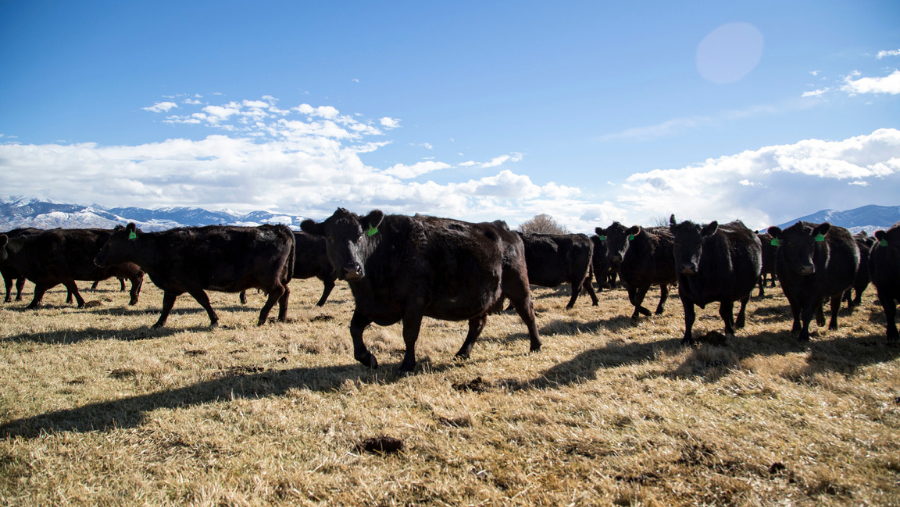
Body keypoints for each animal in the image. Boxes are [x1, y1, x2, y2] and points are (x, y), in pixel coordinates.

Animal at [0, 228, 144, 308]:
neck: (31, 248)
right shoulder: (45, 278)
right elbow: (38, 292)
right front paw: (31, 305)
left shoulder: (63, 275)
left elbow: (73, 288)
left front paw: (81, 303)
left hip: (129, 268)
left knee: (137, 279)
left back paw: (133, 298)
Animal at [94, 223, 294, 328]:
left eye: (110, 243)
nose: (96, 259)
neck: (160, 246)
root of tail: (277, 228)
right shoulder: (171, 285)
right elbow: (166, 305)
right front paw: (159, 323)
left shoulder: (191, 283)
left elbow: (203, 300)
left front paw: (214, 320)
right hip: (276, 276)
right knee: (285, 292)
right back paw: (281, 317)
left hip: (267, 278)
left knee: (278, 291)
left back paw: (262, 317)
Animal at [300, 208, 541, 375]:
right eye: (330, 237)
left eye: (360, 235)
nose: (352, 268)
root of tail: (504, 228)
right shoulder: (369, 305)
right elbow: (354, 329)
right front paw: (368, 359)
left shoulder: (414, 303)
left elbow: (409, 335)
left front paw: (407, 365)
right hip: (481, 297)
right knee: (477, 324)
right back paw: (462, 353)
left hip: (518, 286)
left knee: (528, 314)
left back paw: (536, 345)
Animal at [670, 216, 762, 345]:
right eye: (677, 242)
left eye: (699, 243)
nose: (688, 266)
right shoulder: (684, 294)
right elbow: (689, 316)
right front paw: (687, 338)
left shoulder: (726, 293)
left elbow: (724, 312)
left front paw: (729, 333)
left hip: (749, 285)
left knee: (744, 301)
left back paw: (739, 322)